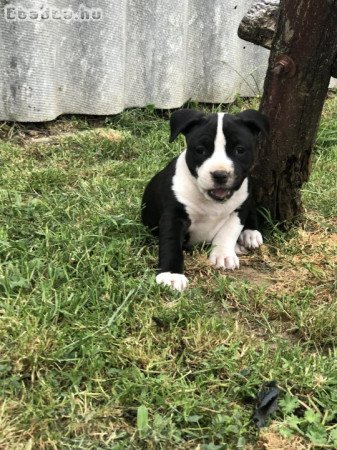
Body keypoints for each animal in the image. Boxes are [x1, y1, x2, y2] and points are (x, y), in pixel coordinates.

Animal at [140, 109, 270, 292]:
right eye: (200, 150)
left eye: (240, 150)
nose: (220, 174)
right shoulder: (174, 216)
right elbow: (171, 243)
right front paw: (171, 275)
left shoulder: (239, 209)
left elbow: (229, 231)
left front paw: (223, 255)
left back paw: (250, 234)